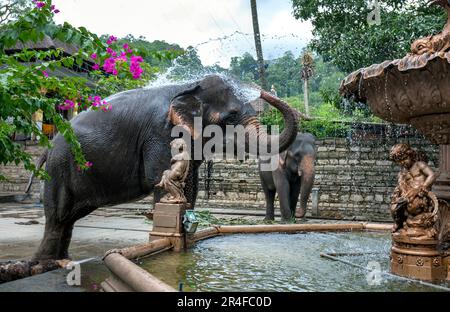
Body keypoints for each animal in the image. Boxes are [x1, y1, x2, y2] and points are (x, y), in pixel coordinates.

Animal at [30, 74, 298, 260]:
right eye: (230, 116)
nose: (262, 90)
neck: (190, 86)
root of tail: (48, 148)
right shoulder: (160, 134)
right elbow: (160, 177)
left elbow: (190, 184)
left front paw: (189, 239)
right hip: (59, 168)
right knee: (57, 216)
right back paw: (45, 264)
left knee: (68, 219)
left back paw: (60, 261)